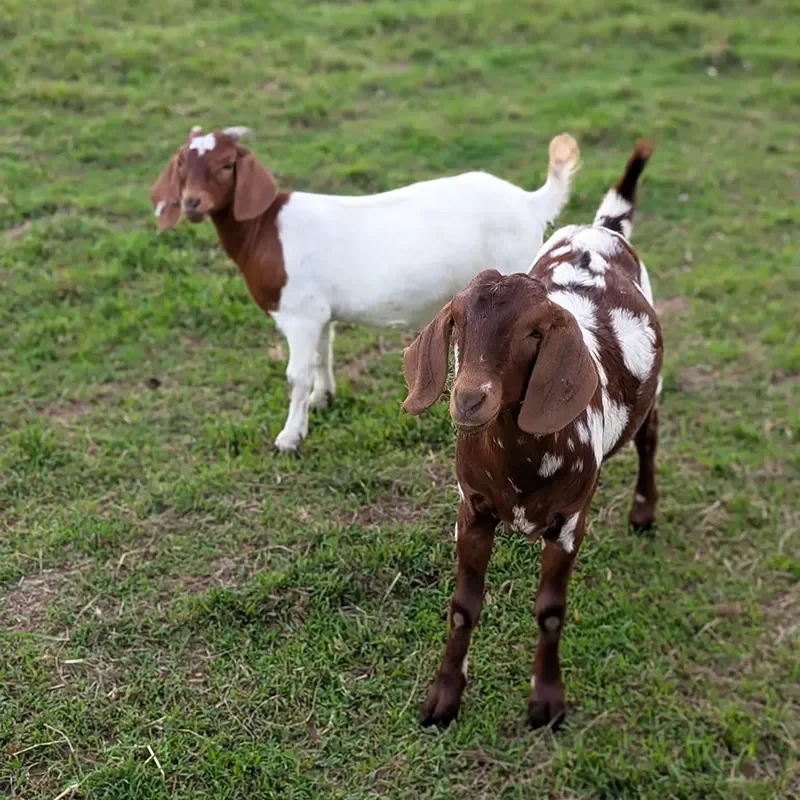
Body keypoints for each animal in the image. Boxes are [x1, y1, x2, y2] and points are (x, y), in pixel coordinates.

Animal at [150, 126, 580, 452]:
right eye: (182, 164)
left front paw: (289, 437)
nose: (191, 203)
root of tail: (529, 203)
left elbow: (296, 374)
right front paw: (321, 399)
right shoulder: (320, 313)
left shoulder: (299, 315)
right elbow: (322, 356)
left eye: (226, 165)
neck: (266, 231)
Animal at [402, 141, 661, 730]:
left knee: (649, 439)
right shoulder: (472, 510)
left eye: (536, 333)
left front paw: (547, 701)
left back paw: (644, 511)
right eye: (456, 321)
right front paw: (443, 698)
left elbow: (550, 611)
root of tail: (602, 227)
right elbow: (462, 607)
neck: (518, 466)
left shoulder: (568, 524)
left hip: (653, 397)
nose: (469, 398)